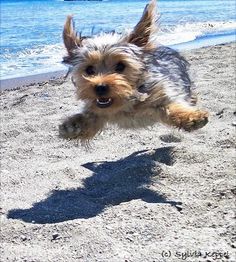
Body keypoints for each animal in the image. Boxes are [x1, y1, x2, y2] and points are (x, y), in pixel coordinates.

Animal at [59, 0, 208, 142]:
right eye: (89, 70)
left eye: (120, 66)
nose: (100, 87)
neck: (126, 100)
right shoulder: (98, 112)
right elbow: (89, 119)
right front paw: (72, 126)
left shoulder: (162, 94)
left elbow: (172, 106)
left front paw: (193, 117)